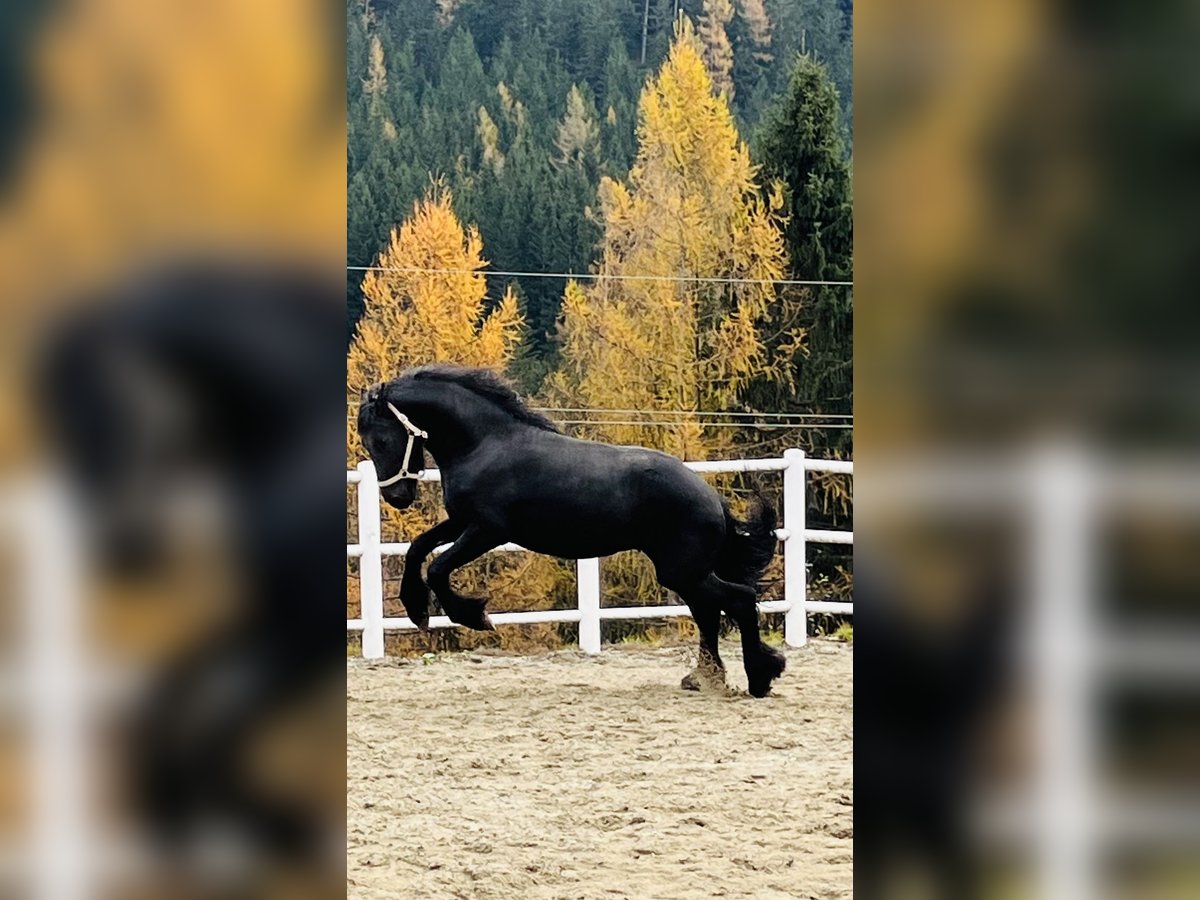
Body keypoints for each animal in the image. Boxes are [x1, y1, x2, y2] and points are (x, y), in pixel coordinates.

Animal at [355, 364, 787, 696]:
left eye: (381, 438)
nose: (396, 496)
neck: (484, 444)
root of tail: (712, 498)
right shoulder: (462, 522)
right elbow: (417, 548)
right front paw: (416, 608)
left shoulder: (487, 531)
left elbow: (438, 567)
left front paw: (475, 616)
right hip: (685, 572)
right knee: (710, 611)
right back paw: (706, 677)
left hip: (682, 571)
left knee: (739, 600)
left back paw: (759, 677)